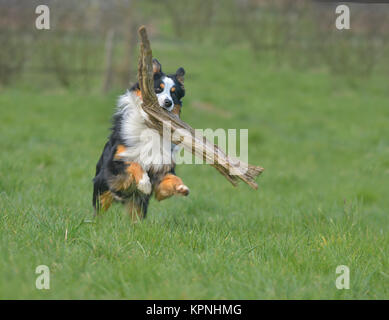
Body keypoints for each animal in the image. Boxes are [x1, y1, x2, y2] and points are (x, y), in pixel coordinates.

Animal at [91, 58, 188, 221]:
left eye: (173, 94)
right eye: (157, 89)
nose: (168, 102)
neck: (151, 127)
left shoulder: (161, 168)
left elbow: (170, 179)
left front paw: (181, 187)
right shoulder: (115, 162)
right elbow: (134, 164)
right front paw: (144, 183)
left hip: (137, 204)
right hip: (102, 188)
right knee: (99, 211)